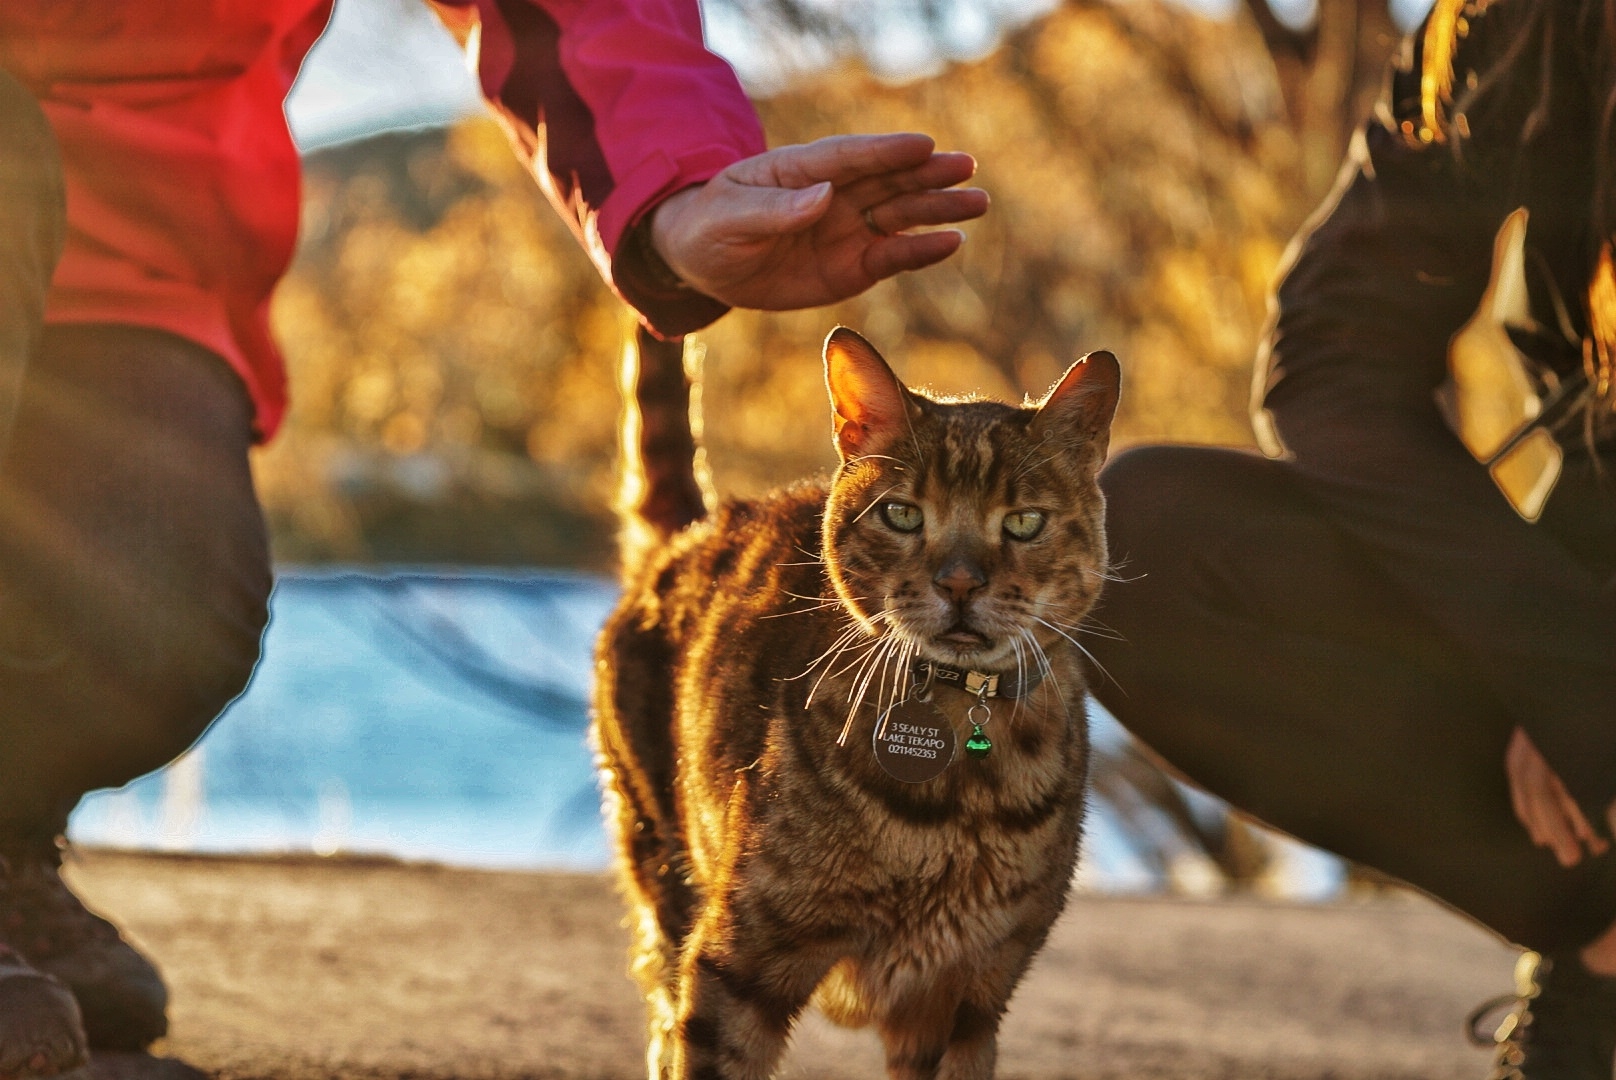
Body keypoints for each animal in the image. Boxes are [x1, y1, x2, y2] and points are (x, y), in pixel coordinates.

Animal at [597, 326, 1124, 1080]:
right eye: (901, 514)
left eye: (1024, 522)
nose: (959, 582)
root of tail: (692, 532)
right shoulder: (739, 961)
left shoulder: (967, 995)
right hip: (663, 865)